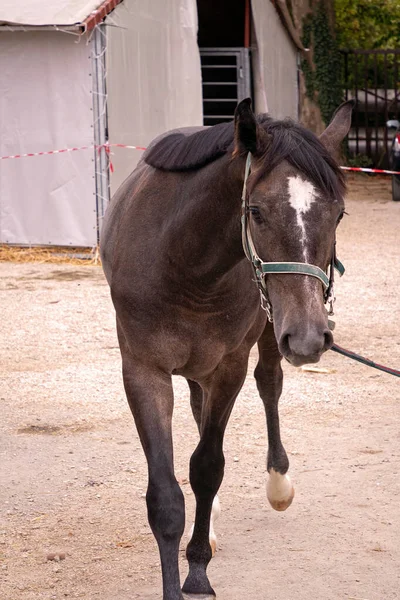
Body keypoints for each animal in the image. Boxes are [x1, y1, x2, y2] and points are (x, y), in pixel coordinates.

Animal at [101, 99, 354, 600]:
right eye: (255, 210)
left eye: (337, 215)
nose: (310, 337)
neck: (185, 265)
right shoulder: (143, 370)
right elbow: (166, 496)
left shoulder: (229, 366)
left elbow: (207, 467)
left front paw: (198, 572)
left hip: (271, 329)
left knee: (269, 384)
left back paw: (278, 484)